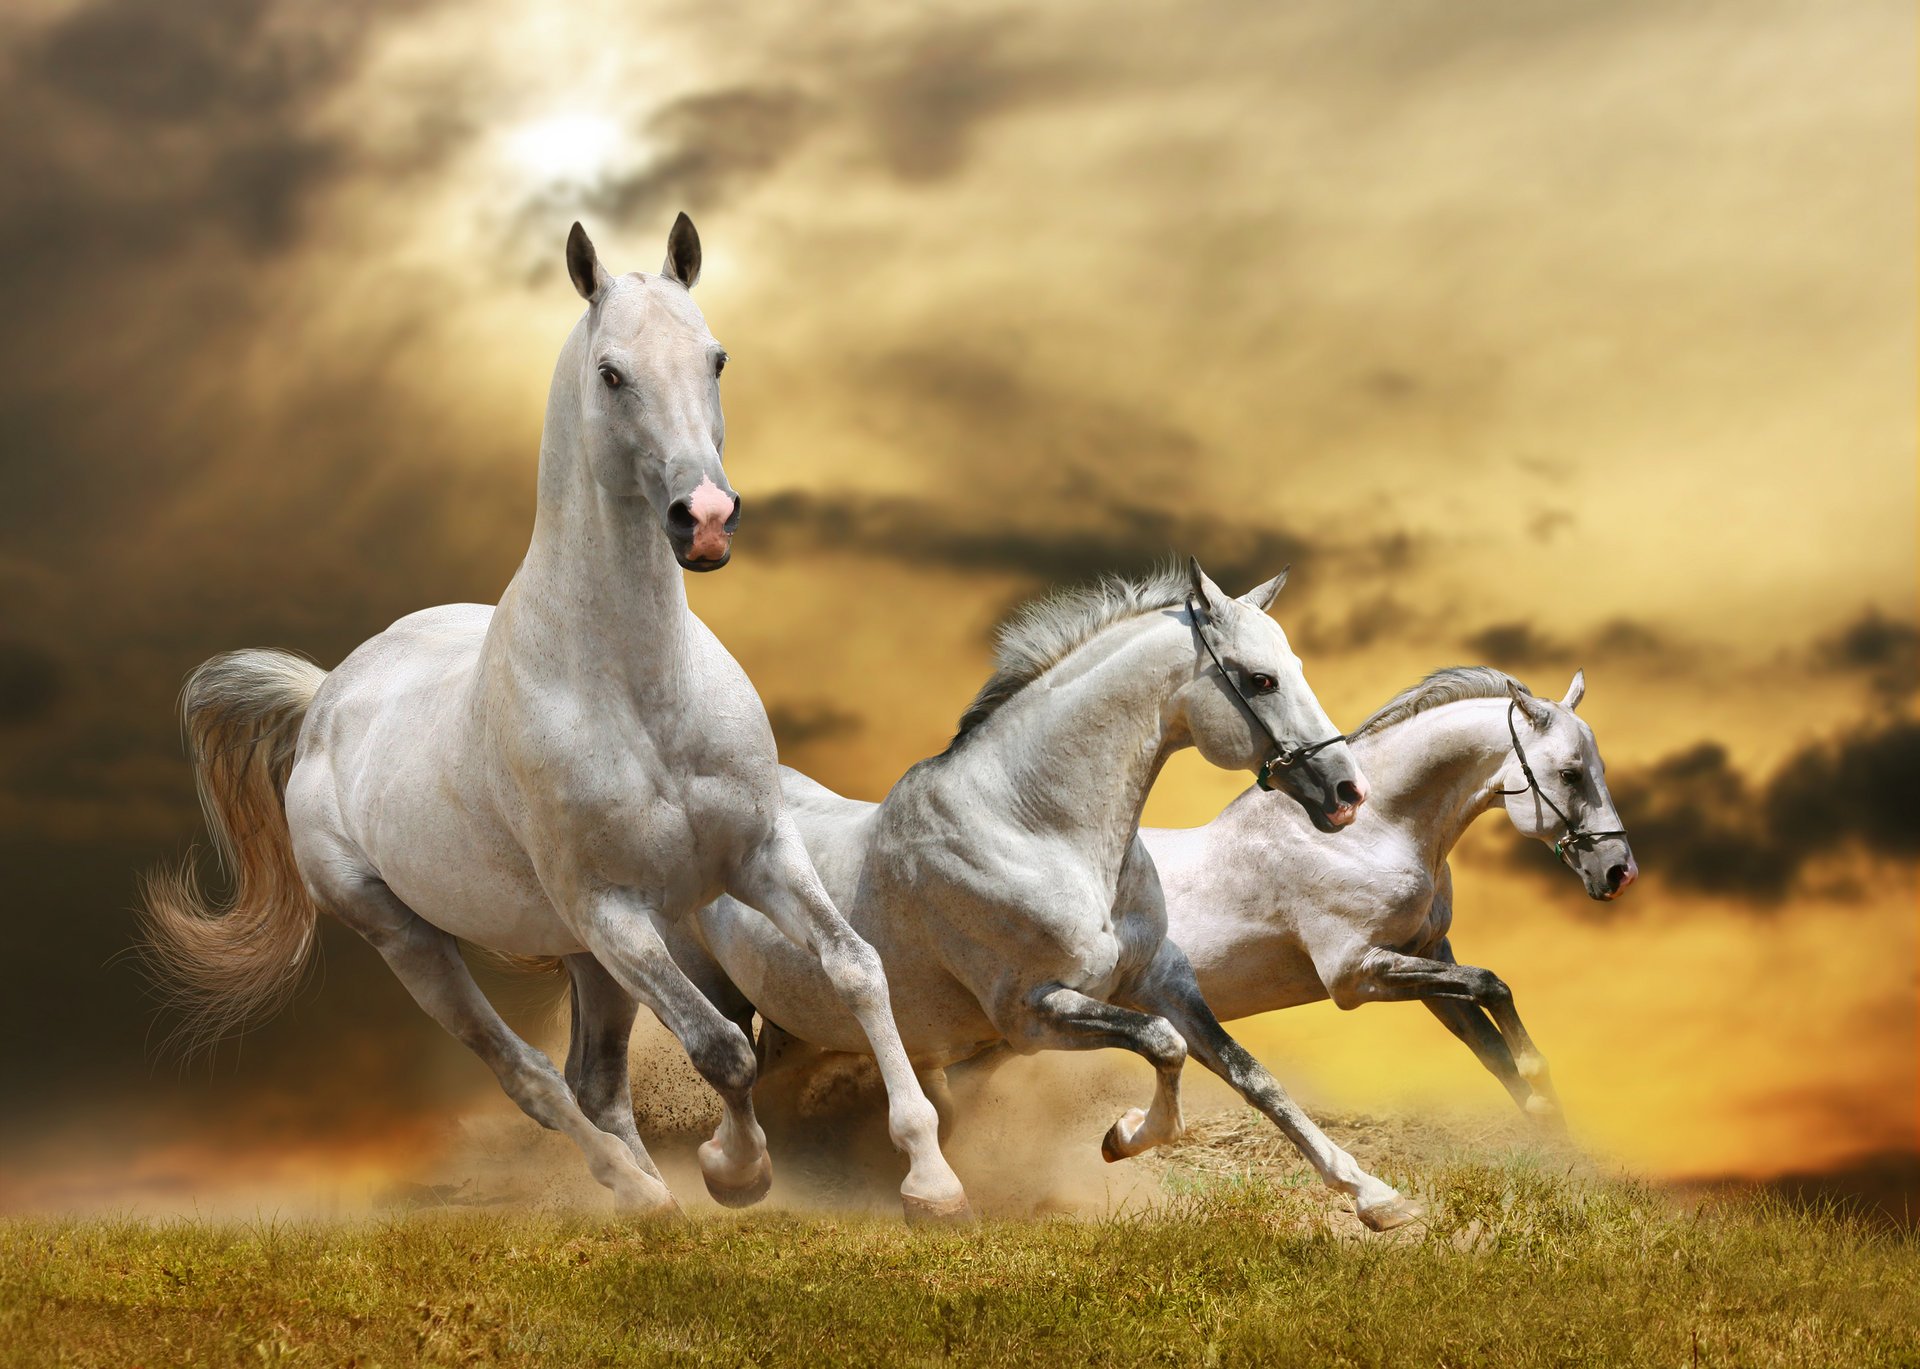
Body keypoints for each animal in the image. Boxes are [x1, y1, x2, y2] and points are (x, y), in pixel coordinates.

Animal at [140, 216, 967, 1223]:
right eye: (611, 372)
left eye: (716, 357)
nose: (706, 519)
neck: (641, 695)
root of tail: (329, 693)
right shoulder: (615, 911)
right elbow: (723, 1044)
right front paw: (736, 1172)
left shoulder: (757, 856)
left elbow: (855, 967)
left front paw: (930, 1176)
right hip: (417, 940)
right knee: (531, 1076)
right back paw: (639, 1190)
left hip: (583, 958)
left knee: (594, 1081)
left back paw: (649, 1193)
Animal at [661, 561, 1426, 1230]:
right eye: (1259, 679)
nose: (1348, 792)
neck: (1036, 829)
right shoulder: (1033, 1012)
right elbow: (1164, 1044)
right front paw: (1124, 1135)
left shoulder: (1160, 978)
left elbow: (1250, 1074)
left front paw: (1378, 1198)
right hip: (710, 985)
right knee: (716, 1062)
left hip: (795, 1022)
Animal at [1143, 666, 1637, 1119]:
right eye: (1570, 774)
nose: (1620, 872)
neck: (1369, 834)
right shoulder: (1356, 973)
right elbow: (1491, 986)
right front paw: (1537, 1075)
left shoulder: (1428, 957)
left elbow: (1496, 1055)